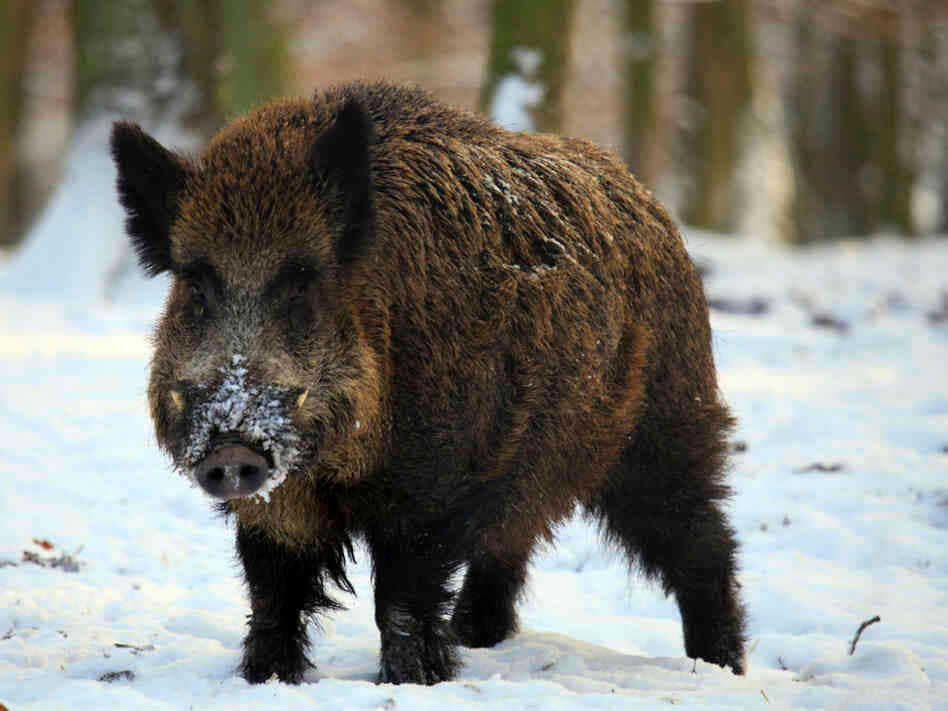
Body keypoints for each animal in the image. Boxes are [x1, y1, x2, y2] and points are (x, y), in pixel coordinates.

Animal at [111, 81, 746, 685]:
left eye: (302, 284)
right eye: (196, 286)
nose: (232, 448)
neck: (332, 467)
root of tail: (648, 202)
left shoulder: (431, 485)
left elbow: (401, 599)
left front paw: (412, 680)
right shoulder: (276, 506)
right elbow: (273, 593)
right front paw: (264, 678)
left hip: (665, 425)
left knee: (703, 540)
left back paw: (720, 667)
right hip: (533, 466)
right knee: (512, 540)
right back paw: (476, 639)